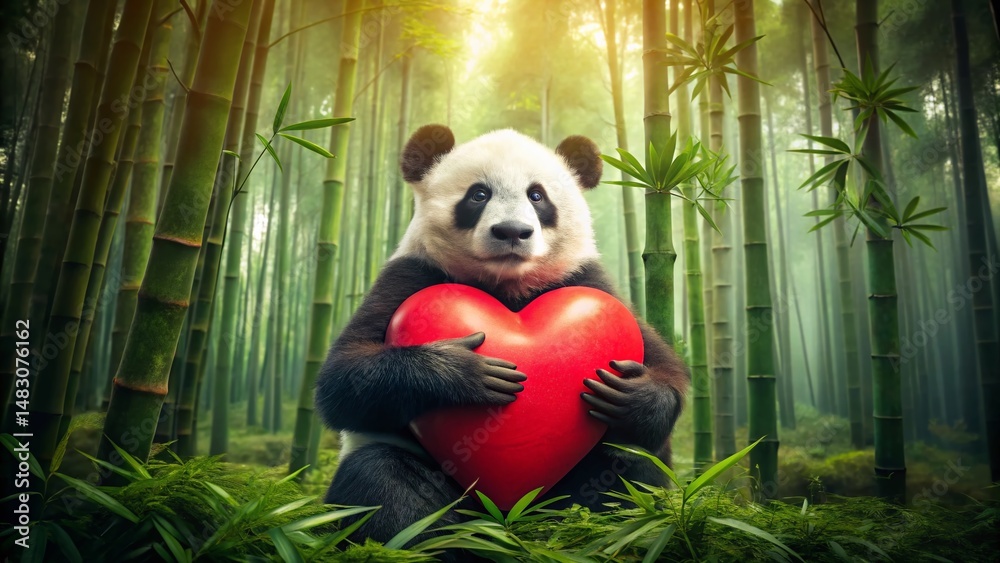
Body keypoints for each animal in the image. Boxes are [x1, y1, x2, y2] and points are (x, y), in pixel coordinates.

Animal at [315, 124, 689, 543]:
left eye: (537, 195)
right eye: (478, 194)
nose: (512, 231)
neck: (507, 284)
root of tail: (510, 516)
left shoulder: (589, 282)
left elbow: (665, 367)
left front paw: (631, 392)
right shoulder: (410, 275)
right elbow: (343, 379)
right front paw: (467, 370)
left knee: (630, 467)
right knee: (384, 483)